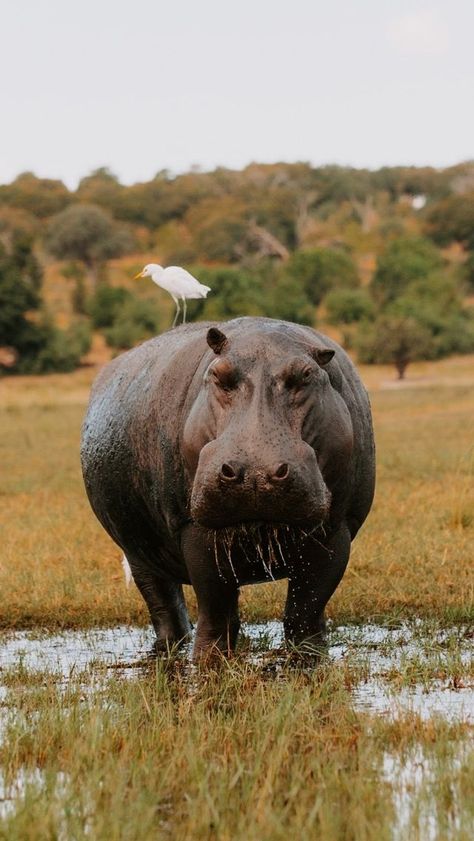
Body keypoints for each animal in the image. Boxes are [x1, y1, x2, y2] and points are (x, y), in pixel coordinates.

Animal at [82, 318, 378, 660]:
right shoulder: (194, 529)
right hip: (137, 553)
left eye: (305, 375)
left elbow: (305, 610)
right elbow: (216, 610)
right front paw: (209, 661)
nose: (256, 472)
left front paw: (308, 656)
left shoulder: (335, 529)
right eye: (218, 375)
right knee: (163, 605)